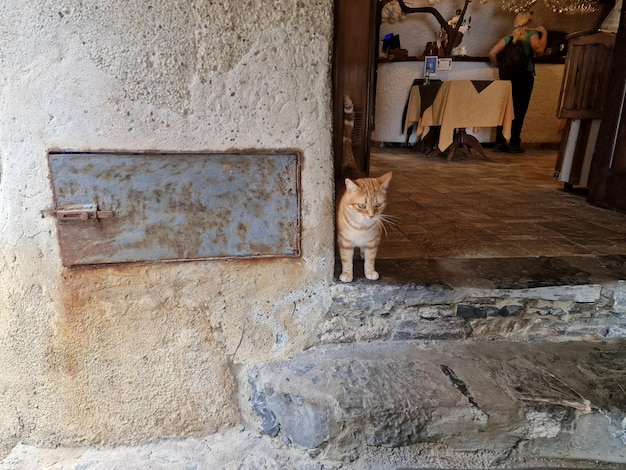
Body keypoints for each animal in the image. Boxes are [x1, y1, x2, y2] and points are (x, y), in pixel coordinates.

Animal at [336, 93, 390, 280]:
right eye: (361, 205)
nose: (371, 216)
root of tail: (352, 167)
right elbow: (346, 260)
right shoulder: (345, 242)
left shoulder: (373, 242)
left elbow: (370, 259)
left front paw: (370, 272)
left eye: (378, 205)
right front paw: (347, 274)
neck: (362, 228)